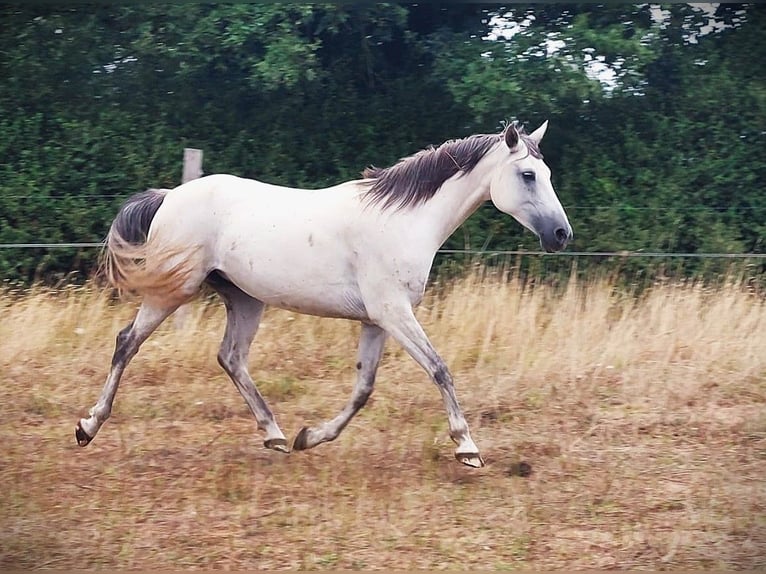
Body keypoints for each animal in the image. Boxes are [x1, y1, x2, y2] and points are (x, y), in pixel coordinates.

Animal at [75, 121, 572, 467]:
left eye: (548, 172)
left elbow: (363, 389)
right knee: (127, 343)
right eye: (529, 174)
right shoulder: (393, 313)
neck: (404, 220)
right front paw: (467, 448)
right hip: (173, 291)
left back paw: (275, 436)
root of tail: (169, 196)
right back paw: (87, 426)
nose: (562, 235)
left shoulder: (376, 321)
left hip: (245, 299)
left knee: (230, 358)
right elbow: (440, 370)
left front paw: (309, 437)